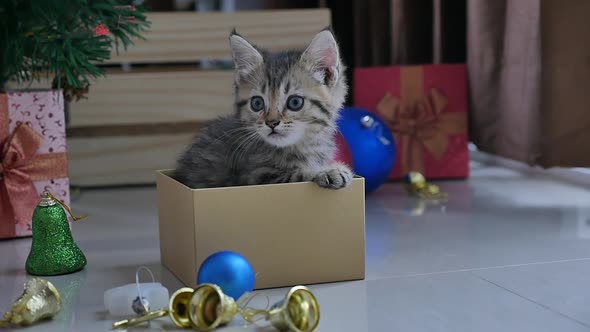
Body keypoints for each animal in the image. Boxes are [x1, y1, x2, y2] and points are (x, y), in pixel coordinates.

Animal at [173, 27, 354, 189]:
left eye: (295, 102)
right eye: (257, 103)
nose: (271, 123)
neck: (302, 146)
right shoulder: (256, 176)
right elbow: (296, 174)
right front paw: (328, 171)